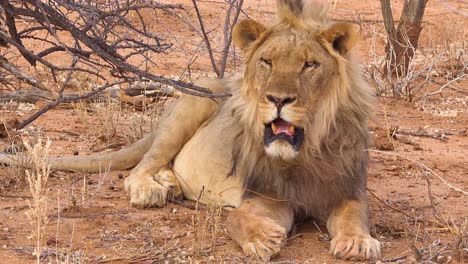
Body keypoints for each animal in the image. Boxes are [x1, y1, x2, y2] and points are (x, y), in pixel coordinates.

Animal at [0, 0, 380, 260]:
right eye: (267, 61)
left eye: (310, 65)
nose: (278, 99)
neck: (304, 155)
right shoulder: (263, 197)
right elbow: (235, 218)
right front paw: (262, 238)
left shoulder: (348, 190)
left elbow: (354, 216)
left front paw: (358, 242)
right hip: (194, 103)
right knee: (141, 167)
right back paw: (151, 189)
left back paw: (169, 184)